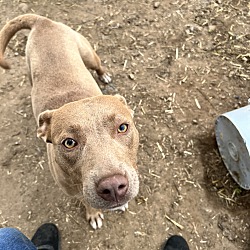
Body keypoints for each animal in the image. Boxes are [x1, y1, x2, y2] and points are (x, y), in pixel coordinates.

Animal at [0, 13, 140, 229]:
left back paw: (104, 75)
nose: (113, 187)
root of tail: (42, 21)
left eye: (122, 127)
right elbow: (87, 201)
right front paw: (94, 214)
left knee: (97, 65)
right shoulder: (75, 191)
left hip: (88, 54)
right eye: (69, 143)